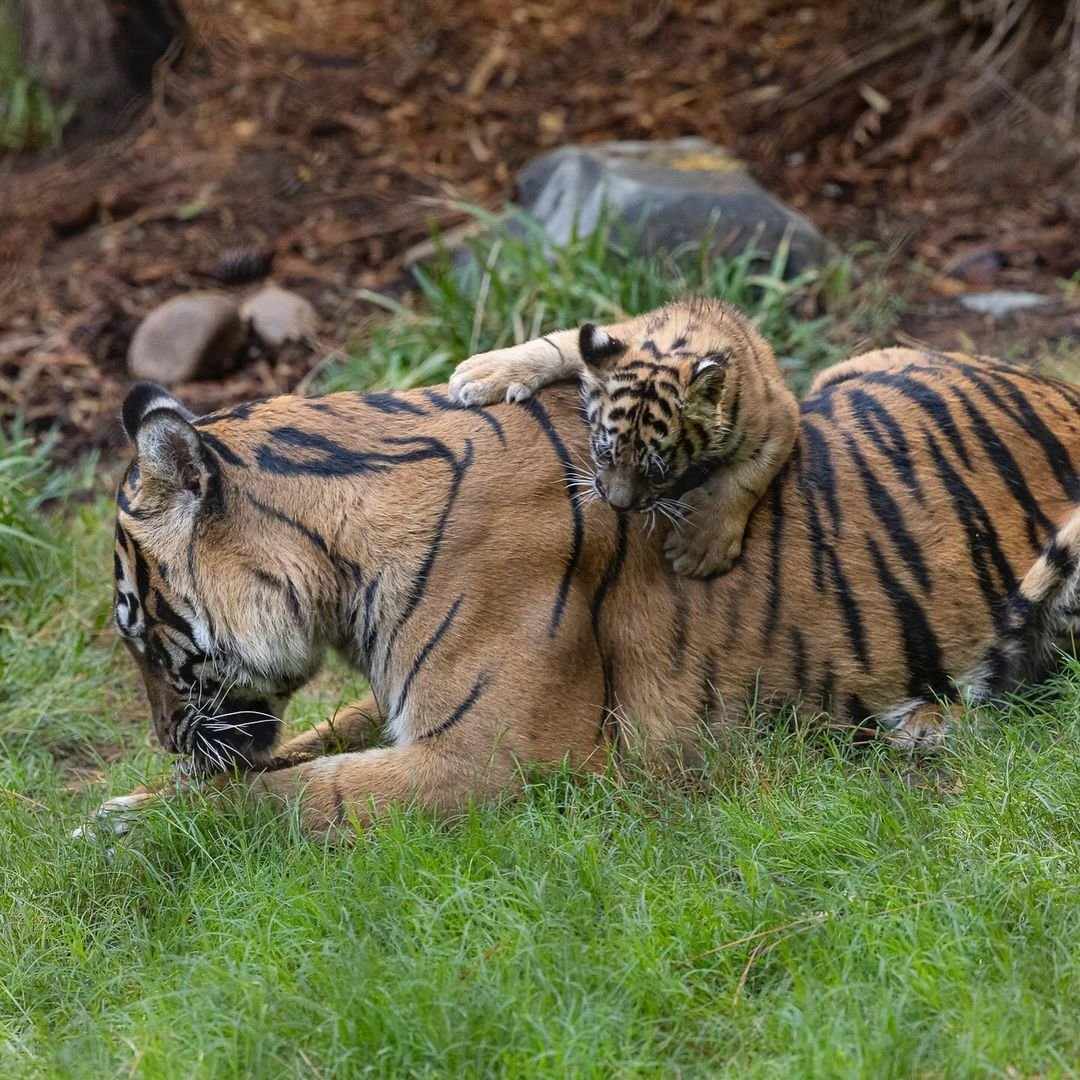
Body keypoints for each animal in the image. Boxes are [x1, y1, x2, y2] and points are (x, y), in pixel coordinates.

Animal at [81, 346, 1080, 838]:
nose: (163, 738)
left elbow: (284, 796)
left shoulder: (482, 760)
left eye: (140, 633)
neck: (338, 565)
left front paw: (132, 832)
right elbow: (312, 740)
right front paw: (141, 798)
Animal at [449, 298, 799, 578]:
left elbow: (742, 479)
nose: (617, 505)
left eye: (658, 472)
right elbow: (552, 346)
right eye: (605, 454)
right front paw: (481, 373)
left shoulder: (778, 415)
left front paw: (700, 545)